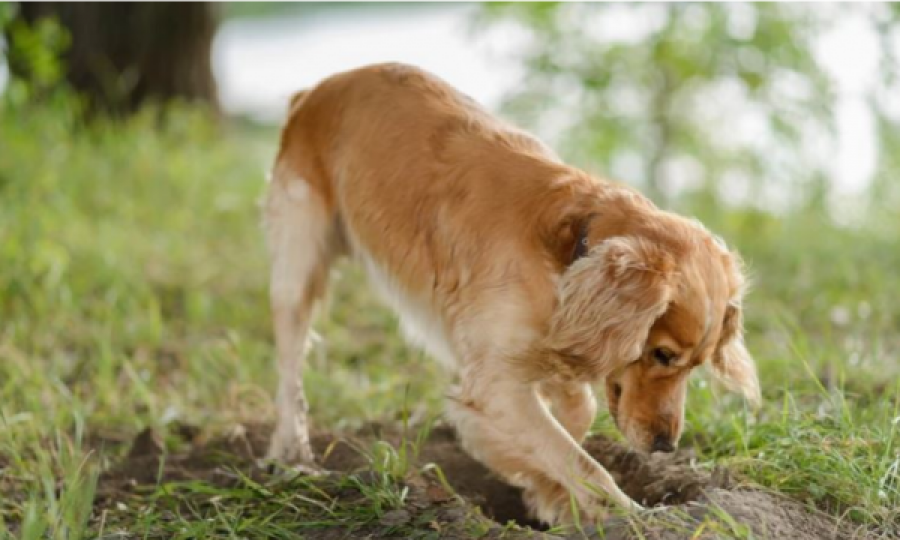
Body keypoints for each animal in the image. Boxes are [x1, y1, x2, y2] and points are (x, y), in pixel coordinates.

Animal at [262, 62, 760, 524]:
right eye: (661, 355)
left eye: (695, 366)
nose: (665, 445)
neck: (568, 254)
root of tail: (320, 87)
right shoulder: (496, 381)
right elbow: (580, 460)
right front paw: (624, 514)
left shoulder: (551, 347)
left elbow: (574, 418)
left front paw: (544, 491)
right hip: (297, 267)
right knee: (289, 372)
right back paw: (292, 454)